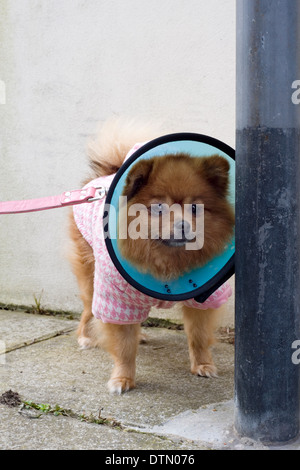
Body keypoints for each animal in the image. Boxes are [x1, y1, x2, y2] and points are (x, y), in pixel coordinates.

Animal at [68, 117, 234, 392]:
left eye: (195, 208)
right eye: (158, 208)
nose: (183, 225)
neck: (167, 261)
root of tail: (106, 175)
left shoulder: (204, 300)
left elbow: (198, 335)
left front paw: (203, 364)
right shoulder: (116, 299)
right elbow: (124, 346)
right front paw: (123, 379)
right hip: (90, 278)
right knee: (88, 310)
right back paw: (84, 337)